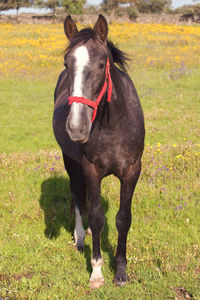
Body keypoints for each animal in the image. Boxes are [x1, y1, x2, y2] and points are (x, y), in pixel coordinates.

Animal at [52, 14, 145, 288]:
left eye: (102, 64)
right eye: (66, 63)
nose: (76, 127)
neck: (113, 126)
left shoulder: (132, 171)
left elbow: (123, 218)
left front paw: (121, 272)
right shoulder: (90, 169)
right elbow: (95, 215)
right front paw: (96, 272)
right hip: (71, 162)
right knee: (77, 196)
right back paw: (81, 238)